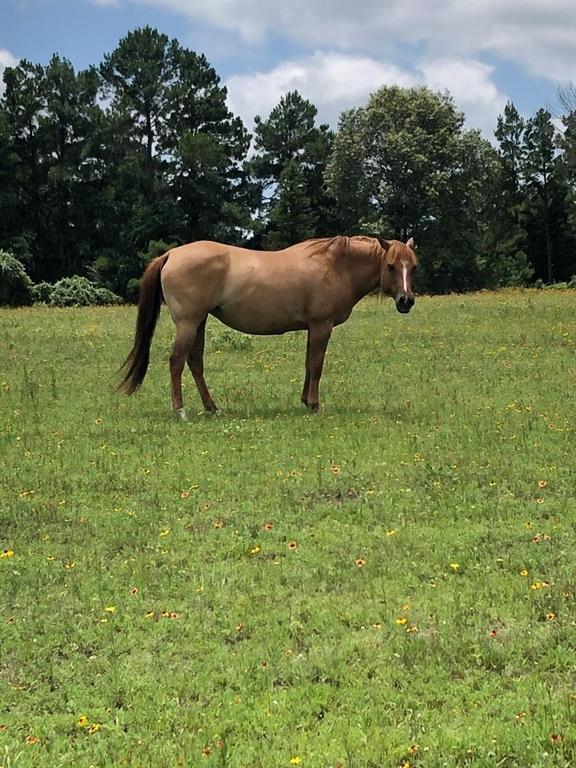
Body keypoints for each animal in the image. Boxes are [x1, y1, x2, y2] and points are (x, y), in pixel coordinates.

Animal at [119, 236, 416, 420]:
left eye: (412, 267)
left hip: (199, 322)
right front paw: (315, 404)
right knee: (177, 361)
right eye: (391, 266)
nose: (406, 301)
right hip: (188, 322)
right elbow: (316, 365)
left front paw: (305, 401)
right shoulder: (322, 326)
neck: (335, 266)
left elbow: (308, 364)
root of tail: (171, 254)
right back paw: (180, 411)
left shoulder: (312, 328)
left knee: (195, 362)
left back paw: (212, 407)